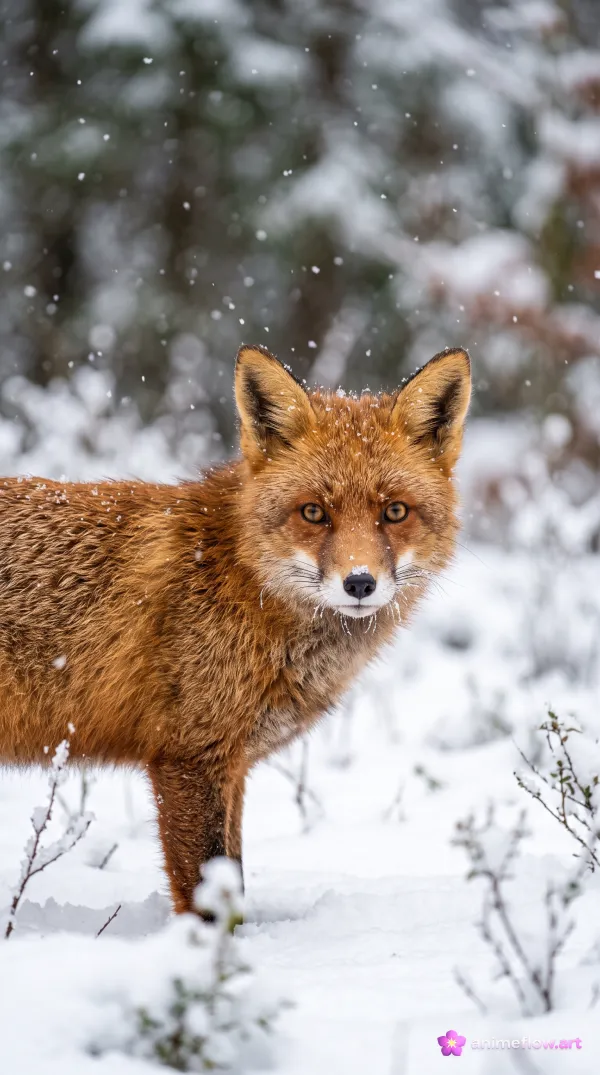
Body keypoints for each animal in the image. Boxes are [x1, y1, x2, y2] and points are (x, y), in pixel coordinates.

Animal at [0, 344, 470, 913]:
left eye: (395, 511)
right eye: (314, 512)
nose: (359, 583)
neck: (237, 575)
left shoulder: (233, 767)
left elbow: (234, 881)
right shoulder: (188, 758)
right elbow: (210, 898)